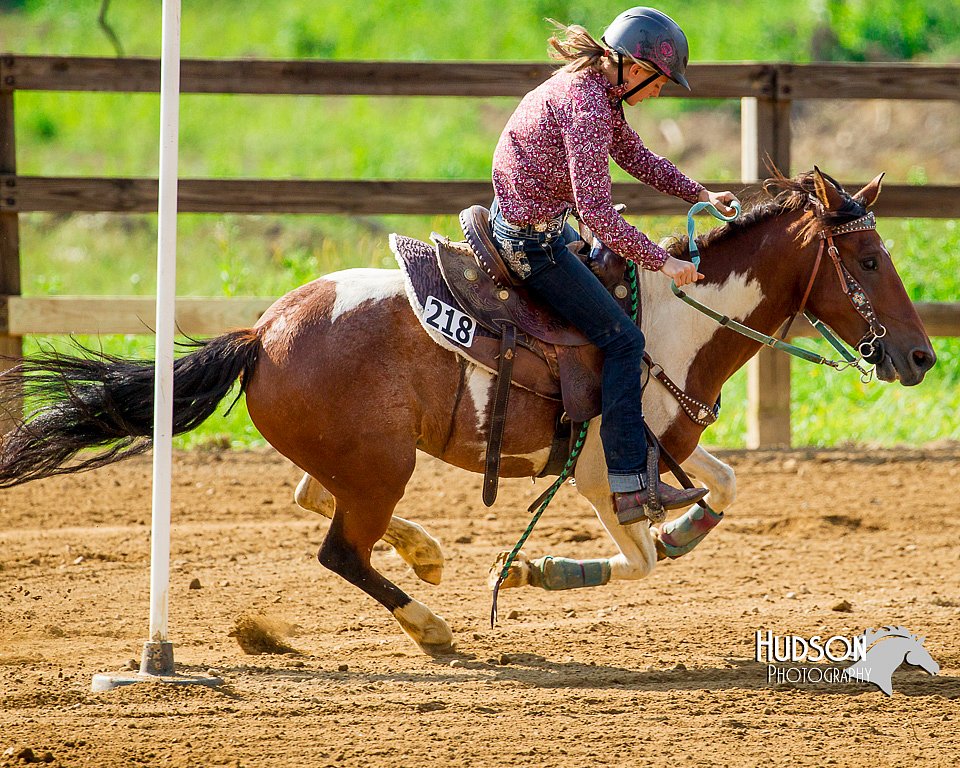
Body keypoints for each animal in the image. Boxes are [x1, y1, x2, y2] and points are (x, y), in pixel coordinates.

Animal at [0, 168, 932, 656]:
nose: (923, 357)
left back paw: (428, 555)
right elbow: (642, 561)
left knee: (315, 496)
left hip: (367, 458)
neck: (675, 319)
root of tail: (261, 332)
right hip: (384, 464)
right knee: (340, 548)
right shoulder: (604, 473)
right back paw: (433, 624)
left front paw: (676, 530)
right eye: (869, 259)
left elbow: (725, 488)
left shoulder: (667, 441)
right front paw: (536, 571)